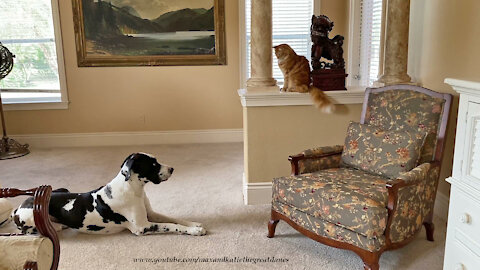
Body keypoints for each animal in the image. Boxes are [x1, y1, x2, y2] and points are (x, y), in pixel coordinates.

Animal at [7, 154, 206, 236]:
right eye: (153, 164)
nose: (172, 169)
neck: (133, 189)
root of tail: (17, 208)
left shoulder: (150, 214)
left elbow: (173, 219)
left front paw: (193, 224)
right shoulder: (142, 227)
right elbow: (170, 226)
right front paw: (194, 231)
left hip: (62, 189)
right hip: (32, 219)